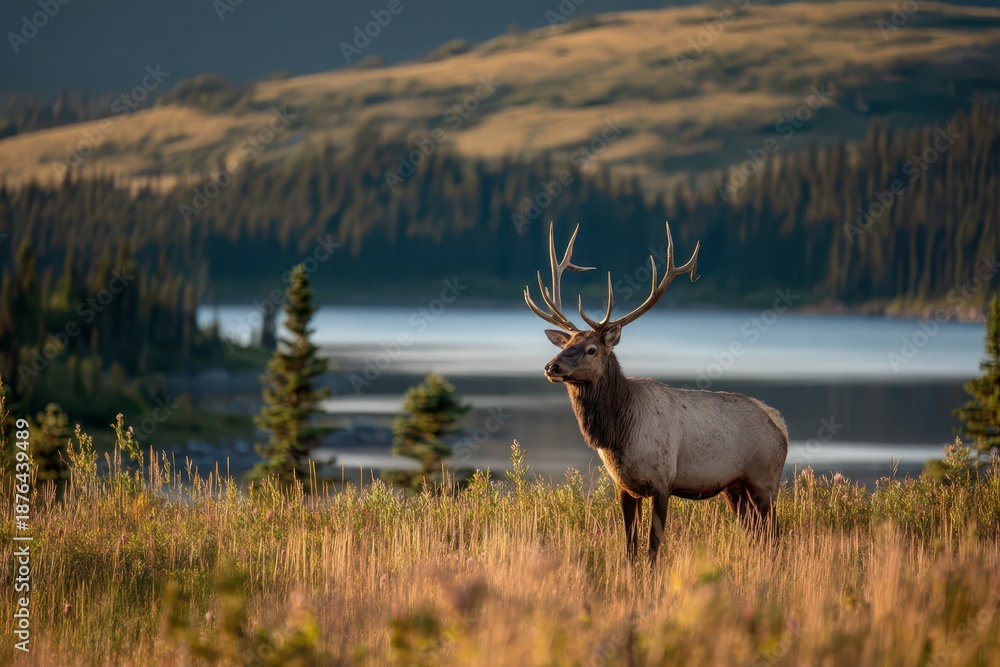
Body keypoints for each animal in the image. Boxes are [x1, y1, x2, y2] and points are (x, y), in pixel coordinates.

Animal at [524, 222, 788, 563]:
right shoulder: (625, 487)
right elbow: (629, 547)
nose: (551, 366)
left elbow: (652, 549)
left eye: (591, 349)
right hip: (736, 487)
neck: (618, 435)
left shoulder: (663, 482)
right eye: (567, 343)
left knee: (776, 535)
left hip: (765, 482)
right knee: (758, 536)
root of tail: (779, 423)